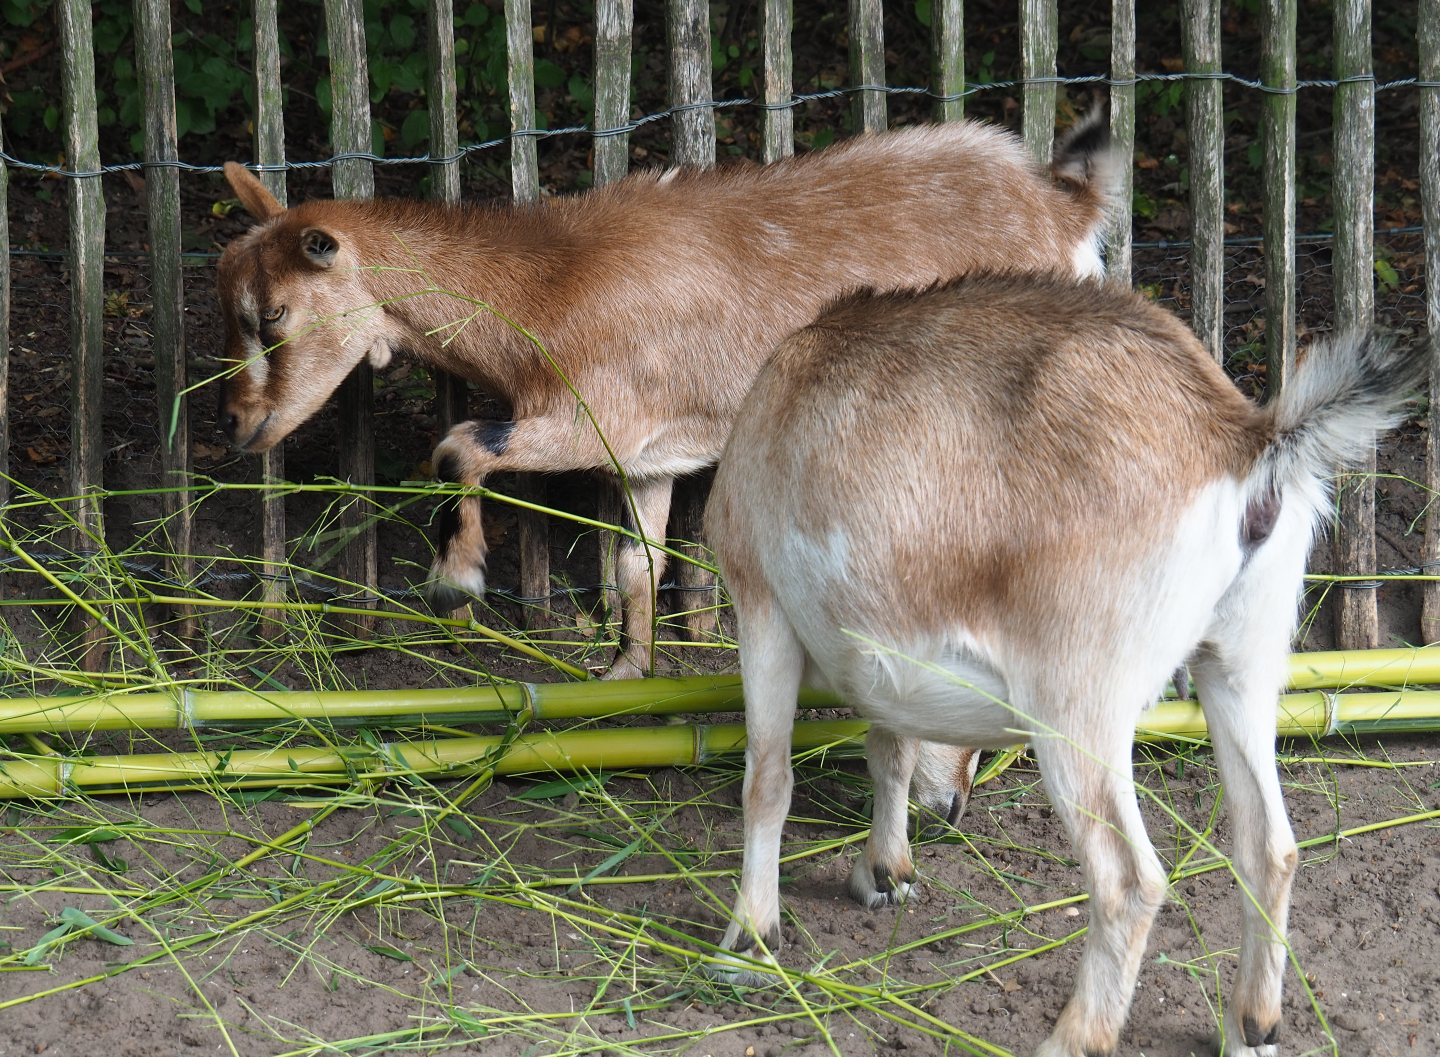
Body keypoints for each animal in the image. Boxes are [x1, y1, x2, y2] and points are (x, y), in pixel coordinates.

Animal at [216, 117, 1112, 692]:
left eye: (274, 315)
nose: (236, 424)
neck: (549, 288)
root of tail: (1067, 206)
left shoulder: (591, 417)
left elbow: (459, 444)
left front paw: (457, 577)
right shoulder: (647, 455)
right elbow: (634, 563)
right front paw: (627, 669)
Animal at [704, 274, 1420, 1057]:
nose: (951, 810)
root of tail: (1245, 442)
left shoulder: (759, 599)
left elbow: (768, 779)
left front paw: (748, 939)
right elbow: (889, 748)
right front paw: (884, 874)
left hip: (1079, 701)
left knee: (1130, 879)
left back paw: (1074, 1036)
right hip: (1244, 662)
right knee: (1272, 844)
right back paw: (1251, 1025)